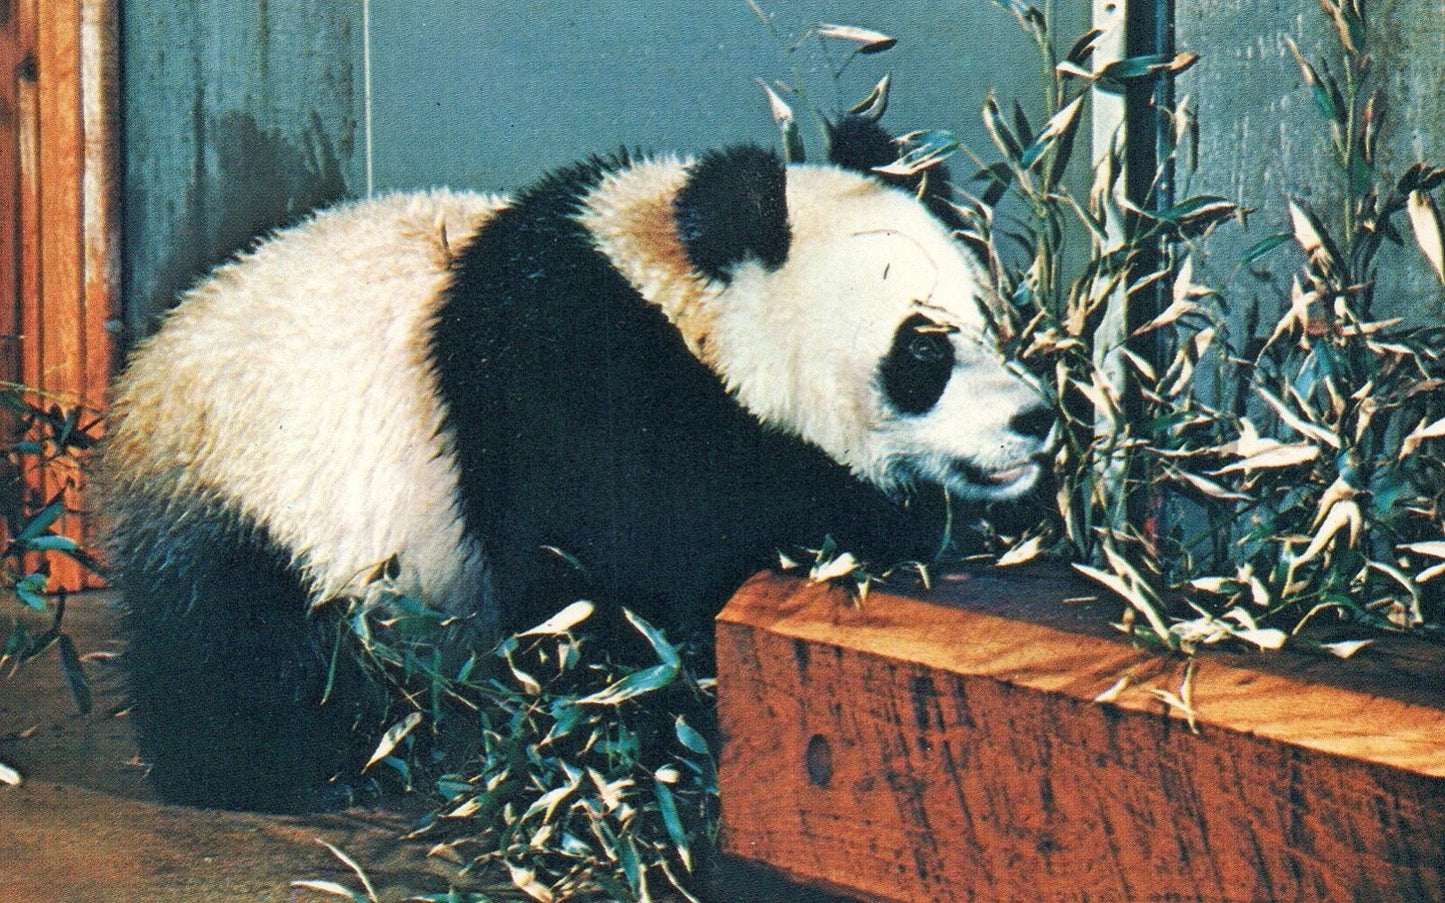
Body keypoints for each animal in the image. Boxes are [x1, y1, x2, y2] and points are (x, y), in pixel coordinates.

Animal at [99, 117, 1052, 812]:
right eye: (923, 349)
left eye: (986, 320)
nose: (1035, 419)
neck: (673, 299)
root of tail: (138, 391)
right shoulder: (571, 389)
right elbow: (623, 585)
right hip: (266, 489)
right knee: (245, 643)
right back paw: (309, 763)